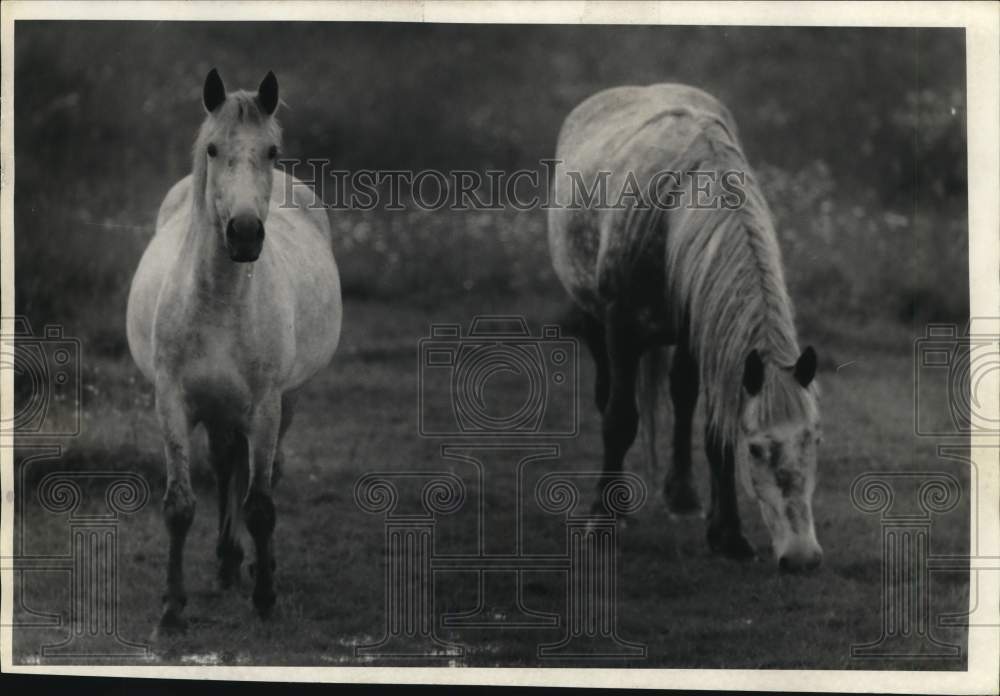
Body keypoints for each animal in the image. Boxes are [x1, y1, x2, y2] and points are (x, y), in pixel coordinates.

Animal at [126, 68, 344, 628]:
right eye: (212, 149)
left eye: (271, 151)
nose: (244, 234)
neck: (219, 301)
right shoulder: (172, 403)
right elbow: (180, 506)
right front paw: (172, 609)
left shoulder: (265, 405)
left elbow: (261, 505)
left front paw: (265, 598)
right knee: (227, 465)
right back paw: (226, 562)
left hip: (285, 400)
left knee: (260, 473)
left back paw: (251, 566)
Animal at [552, 84, 824, 572]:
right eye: (755, 449)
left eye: (814, 439)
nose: (802, 557)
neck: (672, 215)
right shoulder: (620, 327)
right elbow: (620, 419)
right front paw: (601, 520)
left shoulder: (708, 337)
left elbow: (714, 429)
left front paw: (728, 535)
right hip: (593, 319)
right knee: (607, 395)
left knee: (681, 396)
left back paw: (682, 496)